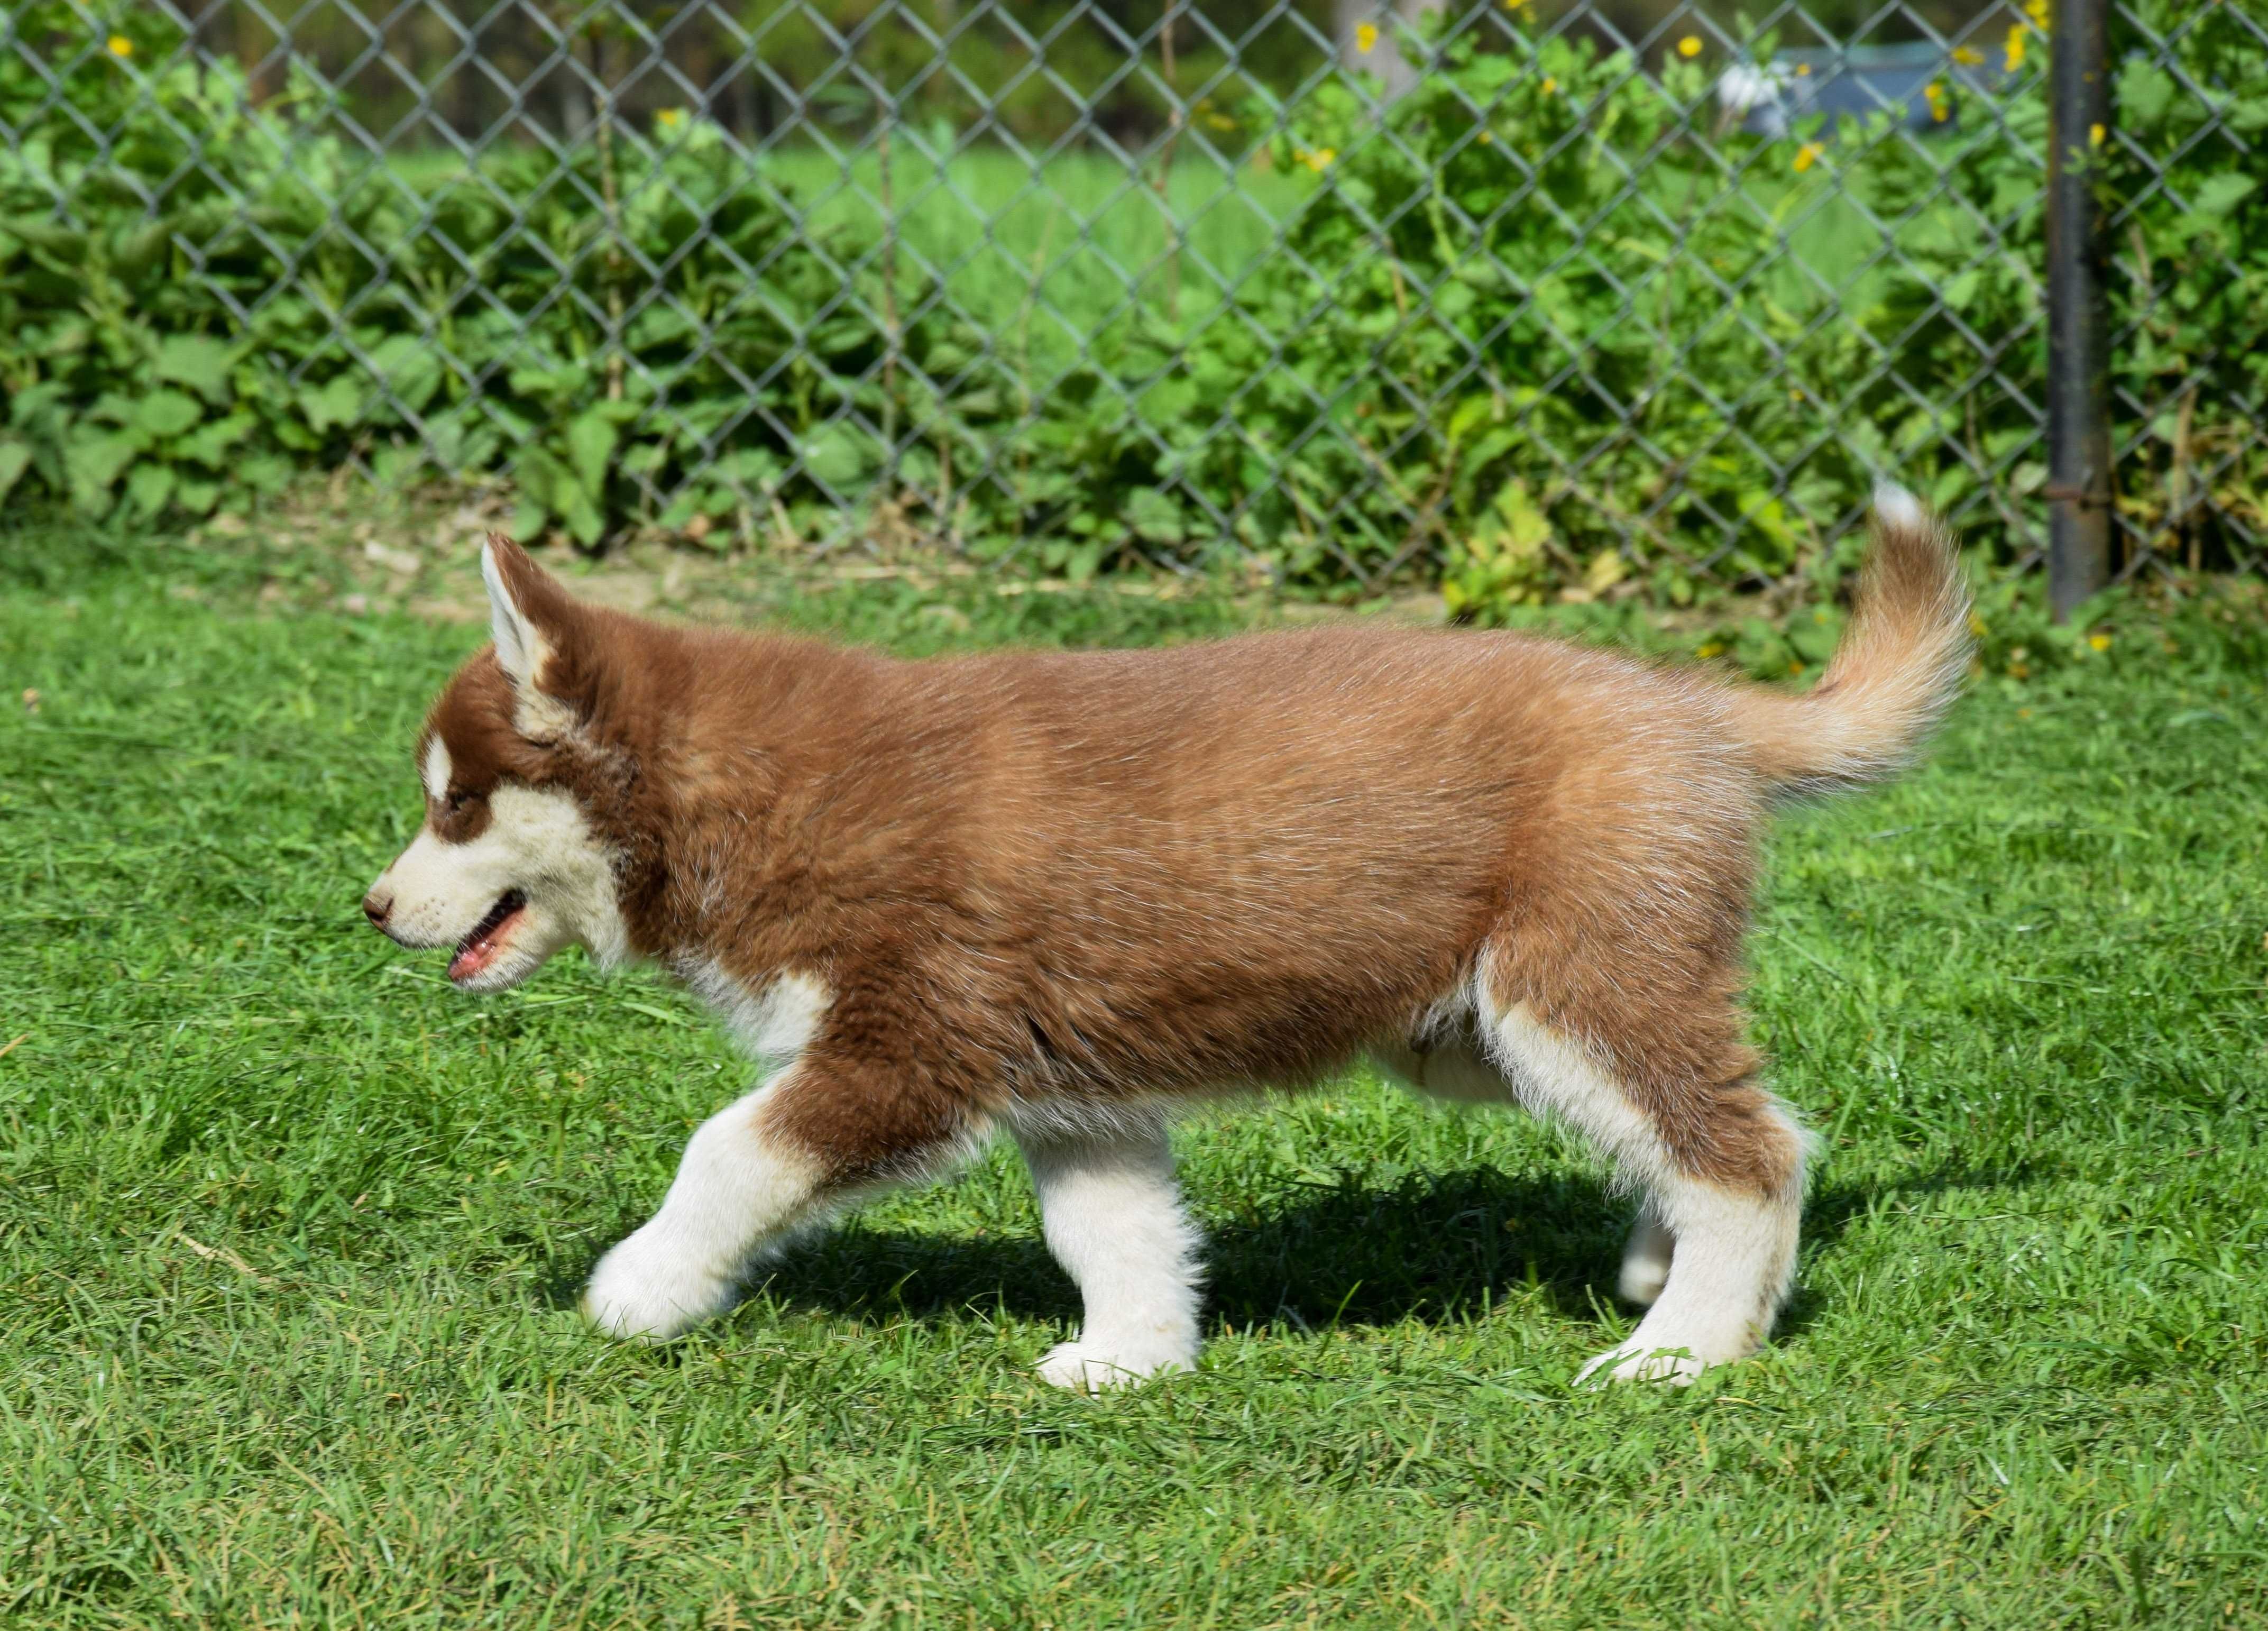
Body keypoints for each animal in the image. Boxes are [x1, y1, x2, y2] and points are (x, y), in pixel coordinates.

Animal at [358, 485, 1968, 1388]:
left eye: (452, 804)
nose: (368, 907)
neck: (746, 793)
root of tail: (1690, 701)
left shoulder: (903, 1044)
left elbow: (727, 1150)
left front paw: (640, 1287)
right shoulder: (1070, 1089)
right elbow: (1113, 1229)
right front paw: (1131, 1360)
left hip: (1567, 982)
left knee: (1746, 1147)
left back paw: (1682, 1346)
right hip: (1473, 1024)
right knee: (1718, 1128)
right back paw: (1666, 1272)